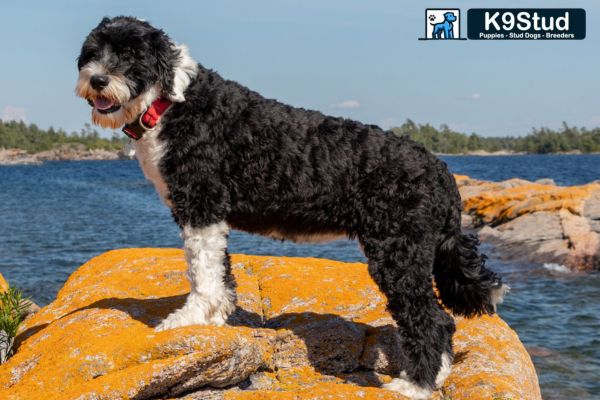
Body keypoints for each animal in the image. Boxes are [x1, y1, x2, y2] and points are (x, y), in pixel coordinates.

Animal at [75, 17, 506, 398]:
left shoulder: (200, 205)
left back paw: (414, 385)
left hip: (398, 253)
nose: (97, 79)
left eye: (131, 54)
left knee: (430, 320)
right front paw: (215, 317)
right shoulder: (209, 216)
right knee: (444, 323)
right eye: (92, 52)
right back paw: (437, 376)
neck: (170, 103)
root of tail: (440, 171)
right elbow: (219, 273)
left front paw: (190, 319)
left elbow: (202, 273)